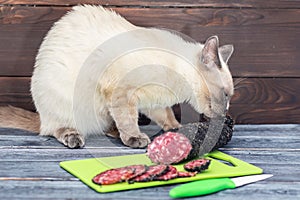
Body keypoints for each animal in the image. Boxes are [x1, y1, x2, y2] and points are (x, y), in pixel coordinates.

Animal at [0, 4, 234, 148]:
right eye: (226, 95)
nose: (226, 113)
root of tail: (41, 117)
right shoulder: (122, 92)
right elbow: (128, 119)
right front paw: (135, 138)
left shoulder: (152, 101)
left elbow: (165, 115)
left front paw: (176, 128)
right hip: (67, 104)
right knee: (54, 129)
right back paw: (74, 137)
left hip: (103, 110)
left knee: (106, 124)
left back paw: (114, 132)